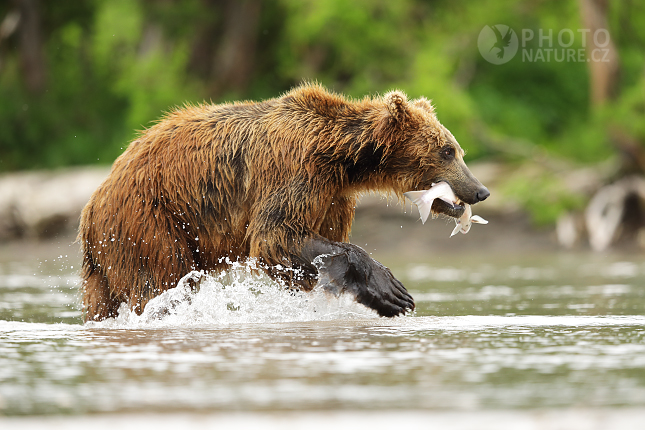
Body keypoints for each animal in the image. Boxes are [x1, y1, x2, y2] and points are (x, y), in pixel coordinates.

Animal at [78, 83, 488, 320]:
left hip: (106, 258)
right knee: (158, 282)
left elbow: (304, 254)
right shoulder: (293, 172)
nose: (480, 190)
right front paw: (390, 291)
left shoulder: (331, 197)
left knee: (103, 302)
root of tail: (92, 204)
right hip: (149, 221)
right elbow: (275, 237)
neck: (342, 159)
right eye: (448, 150)